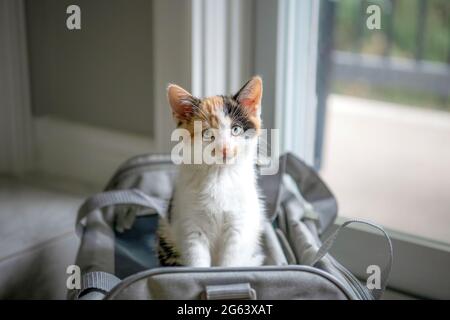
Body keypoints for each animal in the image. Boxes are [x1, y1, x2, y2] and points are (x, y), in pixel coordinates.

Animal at [157, 76, 266, 266]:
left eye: (236, 129)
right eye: (207, 134)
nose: (224, 149)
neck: (219, 175)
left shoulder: (240, 225)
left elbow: (231, 260)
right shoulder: (191, 226)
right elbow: (197, 261)